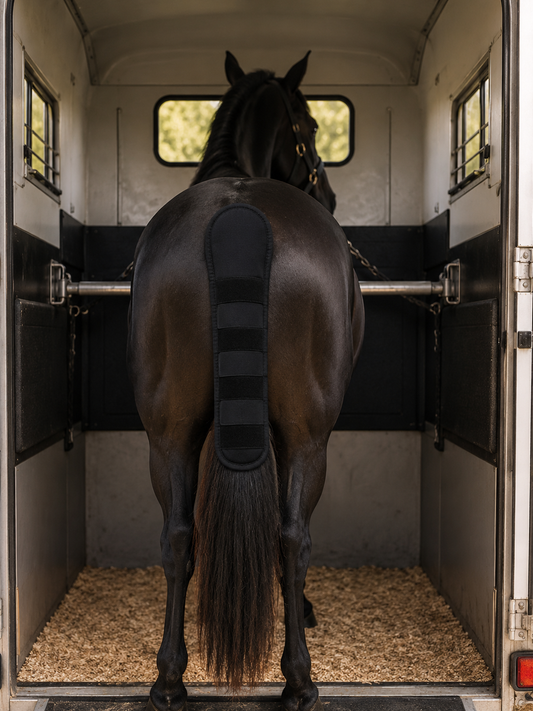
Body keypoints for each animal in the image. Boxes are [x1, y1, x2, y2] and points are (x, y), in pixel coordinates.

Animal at [127, 51, 364, 711]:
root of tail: (238, 217)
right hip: (308, 434)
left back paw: (169, 679)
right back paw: (298, 680)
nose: (329, 192)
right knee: (292, 538)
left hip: (169, 431)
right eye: (310, 125)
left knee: (178, 537)